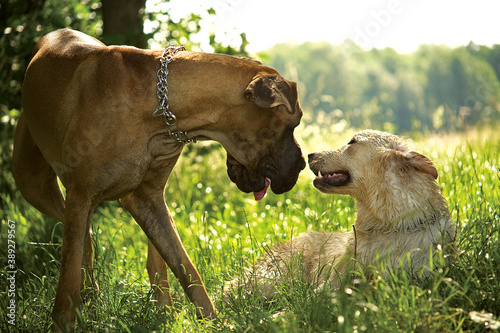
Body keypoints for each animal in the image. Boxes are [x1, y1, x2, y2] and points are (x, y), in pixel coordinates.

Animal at [12, 29, 304, 332]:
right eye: (293, 123)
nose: (302, 164)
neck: (159, 106)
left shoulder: (146, 197)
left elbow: (186, 268)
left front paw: (214, 321)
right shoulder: (80, 194)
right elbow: (68, 271)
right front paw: (64, 321)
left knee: (136, 255)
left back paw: (157, 307)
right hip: (34, 183)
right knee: (81, 241)